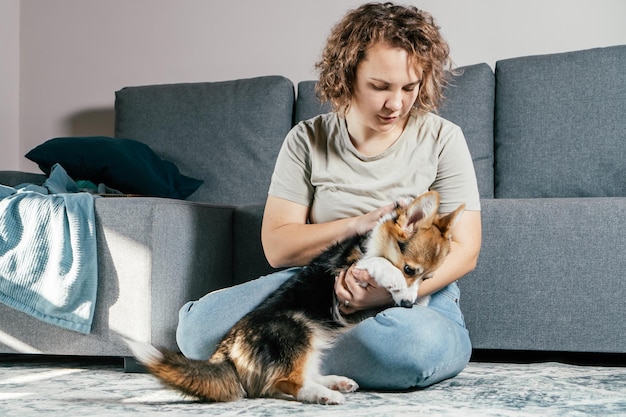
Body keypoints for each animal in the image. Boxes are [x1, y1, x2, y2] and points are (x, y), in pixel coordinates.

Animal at [128, 191, 464, 404]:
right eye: (408, 269)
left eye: (427, 278)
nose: (406, 306)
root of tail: (227, 349)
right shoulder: (351, 268)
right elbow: (377, 264)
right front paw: (391, 278)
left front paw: (413, 297)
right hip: (295, 330)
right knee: (280, 382)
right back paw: (324, 395)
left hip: (310, 342)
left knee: (276, 383)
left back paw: (333, 382)